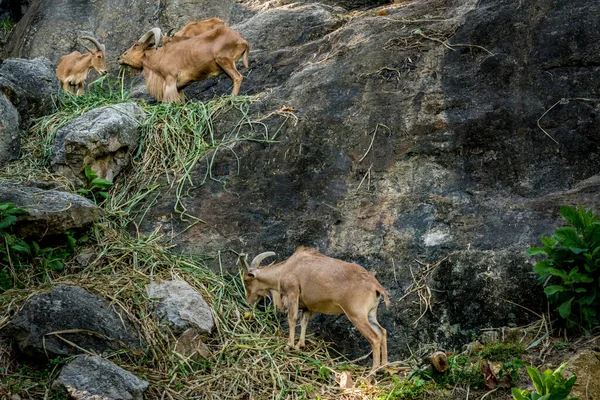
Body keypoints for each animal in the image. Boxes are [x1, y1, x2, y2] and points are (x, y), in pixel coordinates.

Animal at [118, 25, 250, 102]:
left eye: (136, 45)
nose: (120, 57)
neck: (159, 57)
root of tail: (243, 40)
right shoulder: (180, 86)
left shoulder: (170, 78)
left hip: (225, 61)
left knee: (238, 77)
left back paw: (231, 98)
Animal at [241, 247, 392, 372]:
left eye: (246, 280)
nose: (248, 301)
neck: (286, 268)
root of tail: (376, 286)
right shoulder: (307, 307)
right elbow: (303, 322)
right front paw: (299, 345)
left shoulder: (292, 292)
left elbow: (292, 318)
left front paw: (289, 346)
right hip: (370, 314)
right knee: (382, 331)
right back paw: (384, 367)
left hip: (356, 315)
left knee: (375, 337)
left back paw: (373, 371)